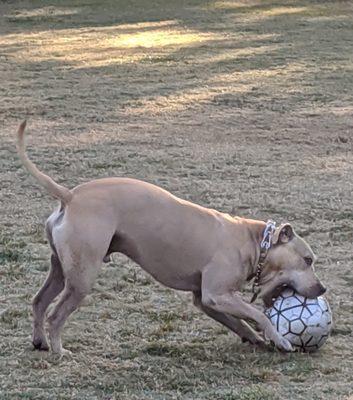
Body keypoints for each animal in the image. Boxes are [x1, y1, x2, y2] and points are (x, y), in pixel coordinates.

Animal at [15, 120, 324, 354]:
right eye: (308, 260)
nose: (322, 289)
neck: (254, 242)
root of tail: (70, 196)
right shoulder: (217, 294)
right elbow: (257, 313)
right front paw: (281, 339)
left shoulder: (207, 300)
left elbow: (240, 321)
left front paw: (256, 337)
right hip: (82, 278)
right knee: (56, 314)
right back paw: (59, 351)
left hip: (61, 269)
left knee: (39, 302)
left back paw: (40, 342)